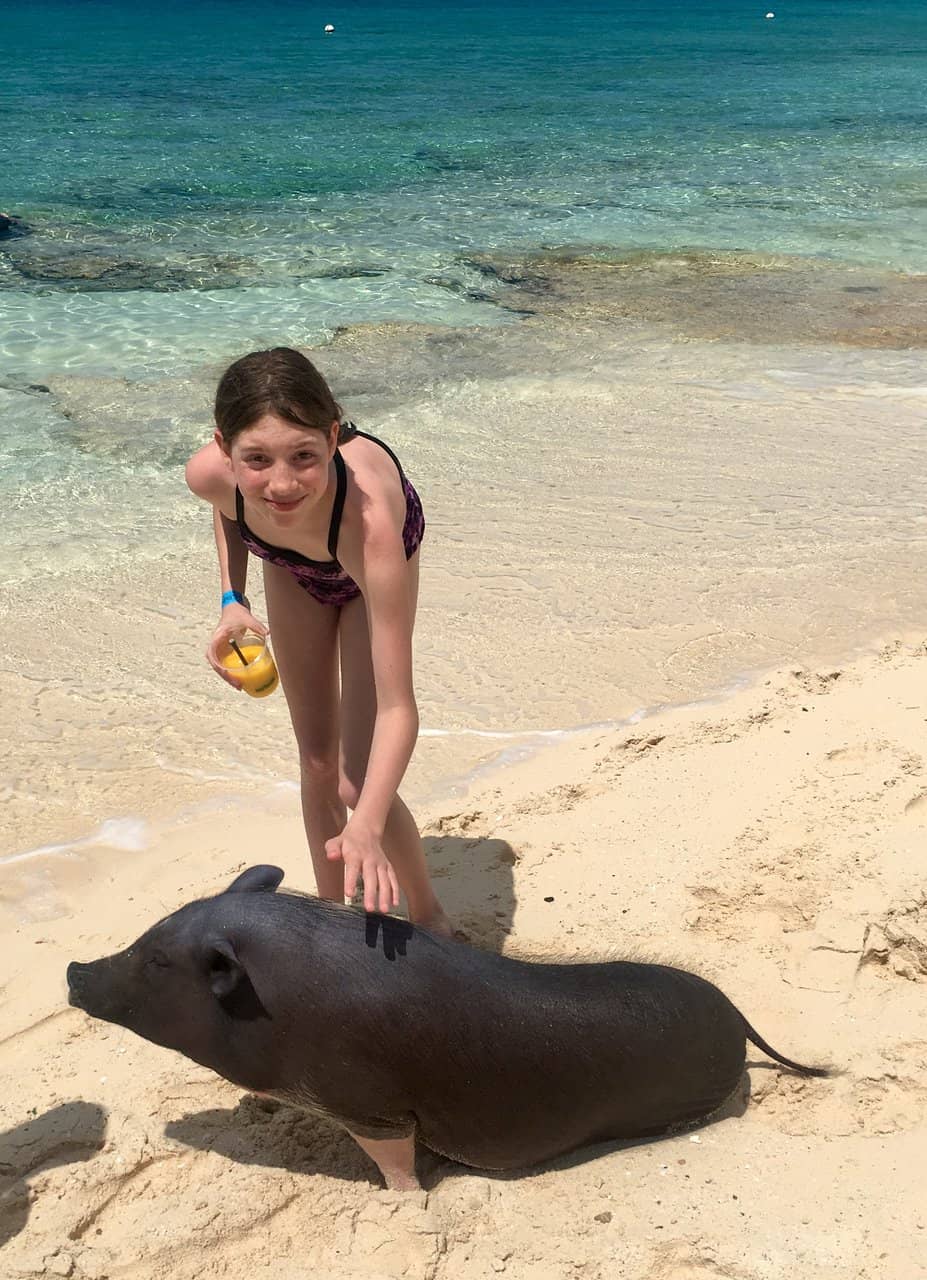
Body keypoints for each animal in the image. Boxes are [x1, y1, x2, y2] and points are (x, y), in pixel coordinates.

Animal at [67, 865, 828, 1189]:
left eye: (157, 961)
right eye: (150, 934)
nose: (74, 969)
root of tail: (736, 1014)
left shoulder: (366, 1102)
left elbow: (395, 1159)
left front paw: (400, 1200)